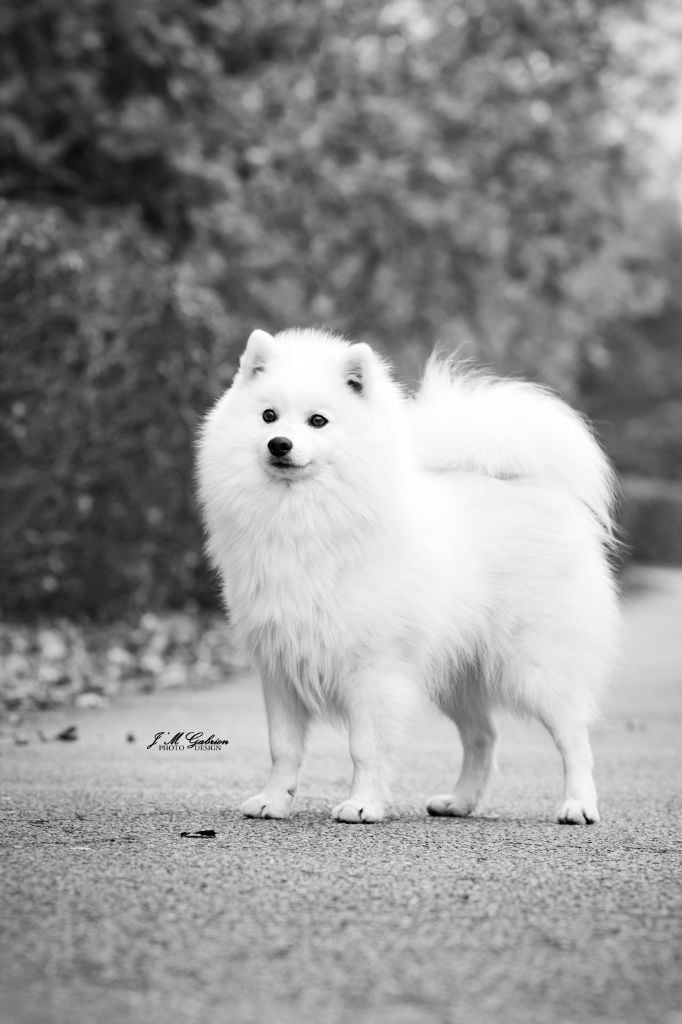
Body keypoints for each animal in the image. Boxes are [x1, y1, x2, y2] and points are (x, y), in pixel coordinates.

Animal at [197, 327, 619, 824]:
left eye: (318, 421)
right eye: (268, 416)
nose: (279, 443)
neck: (304, 519)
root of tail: (530, 486)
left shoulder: (372, 668)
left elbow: (365, 748)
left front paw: (362, 804)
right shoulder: (280, 664)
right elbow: (282, 748)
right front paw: (273, 801)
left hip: (539, 664)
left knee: (573, 737)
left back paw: (578, 805)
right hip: (459, 675)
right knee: (483, 737)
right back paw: (459, 802)